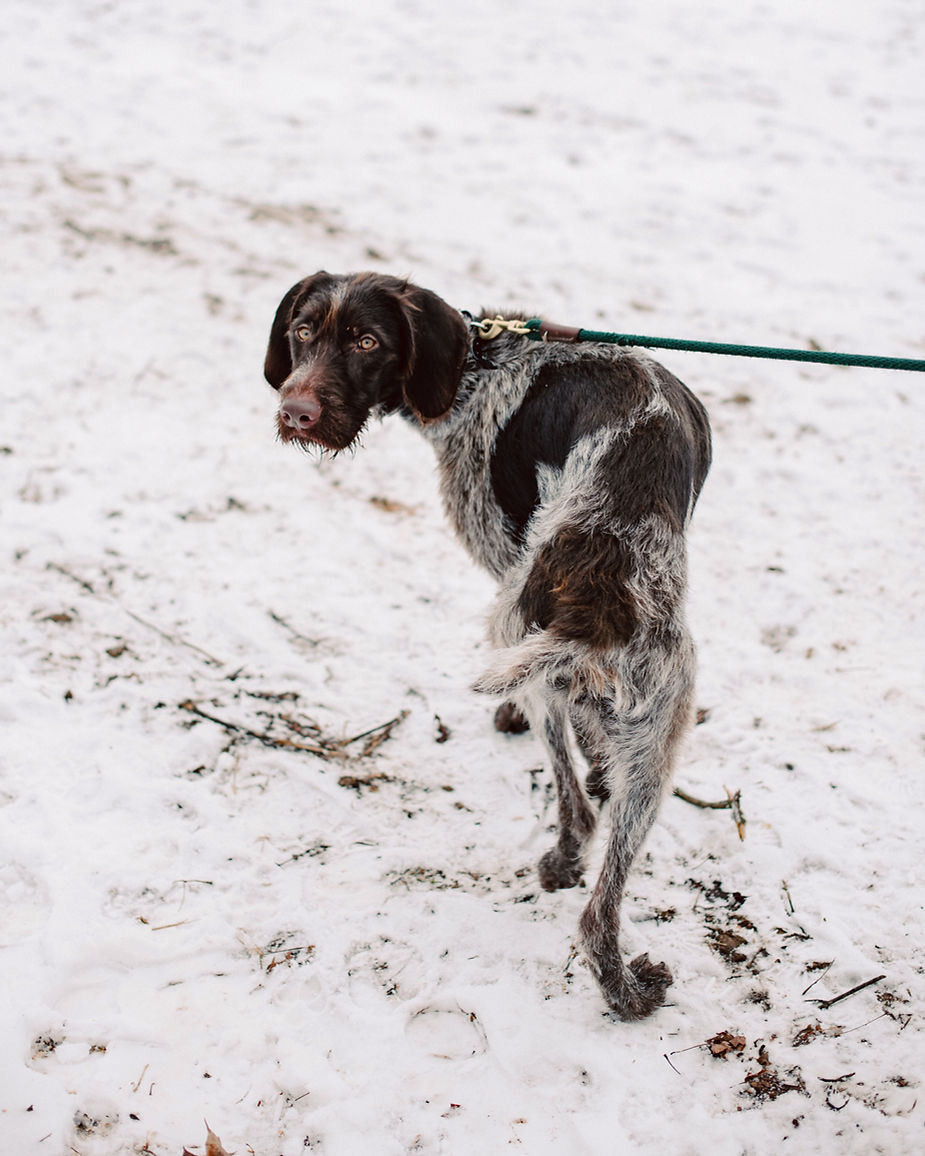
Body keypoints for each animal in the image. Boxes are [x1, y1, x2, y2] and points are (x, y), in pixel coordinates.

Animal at [263, 272, 712, 1021]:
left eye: (367, 341)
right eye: (301, 330)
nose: (295, 411)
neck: (478, 364)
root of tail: (601, 597)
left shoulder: (501, 552)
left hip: (524, 644)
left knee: (574, 807)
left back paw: (564, 854)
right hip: (656, 747)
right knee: (600, 904)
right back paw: (624, 988)